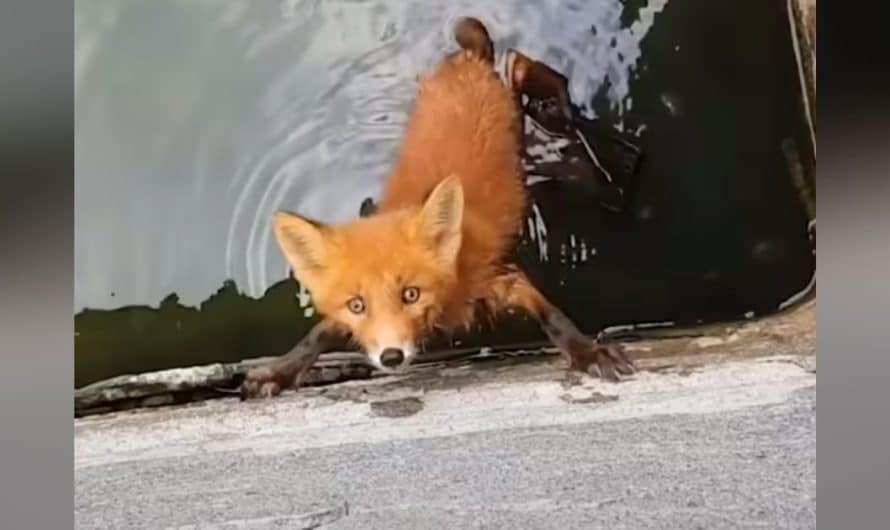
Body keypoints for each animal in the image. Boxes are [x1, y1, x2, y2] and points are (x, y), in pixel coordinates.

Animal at [239, 15, 636, 396]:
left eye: (410, 294)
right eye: (357, 305)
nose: (391, 357)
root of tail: (470, 64)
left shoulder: (502, 280)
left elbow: (552, 317)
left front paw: (587, 352)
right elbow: (316, 337)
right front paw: (277, 373)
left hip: (517, 113)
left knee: (521, 67)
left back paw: (561, 106)